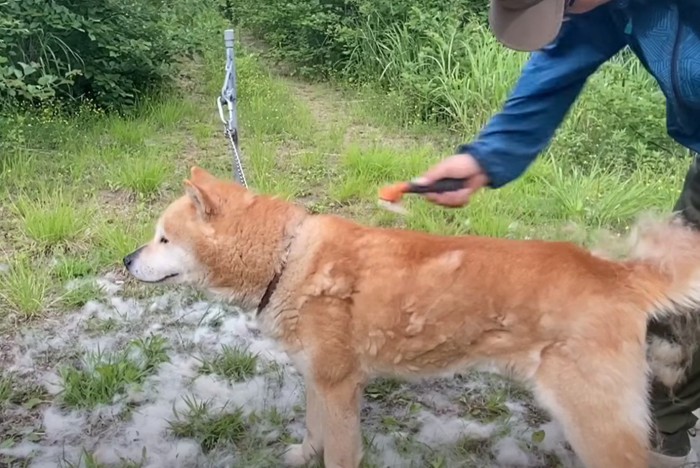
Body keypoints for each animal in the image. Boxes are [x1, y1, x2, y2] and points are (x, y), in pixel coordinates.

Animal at [123, 167, 700, 468]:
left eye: (163, 239)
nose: (126, 260)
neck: (289, 260)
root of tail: (616, 272)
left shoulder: (340, 389)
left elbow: (339, 454)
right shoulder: (320, 382)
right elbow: (312, 434)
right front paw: (302, 453)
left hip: (597, 424)